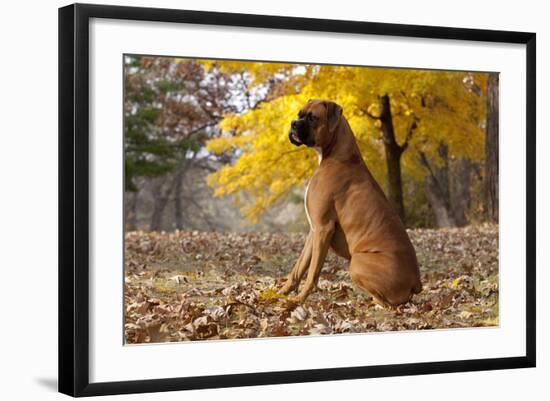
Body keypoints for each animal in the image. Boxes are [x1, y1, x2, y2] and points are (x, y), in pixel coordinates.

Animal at [282, 100, 424, 306]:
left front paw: (299, 299)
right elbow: (299, 267)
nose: (293, 124)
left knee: (385, 303)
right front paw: (281, 293)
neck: (335, 154)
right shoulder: (314, 230)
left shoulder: (323, 228)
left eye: (312, 118)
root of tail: (416, 281)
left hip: (356, 263)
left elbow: (313, 272)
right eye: (299, 115)